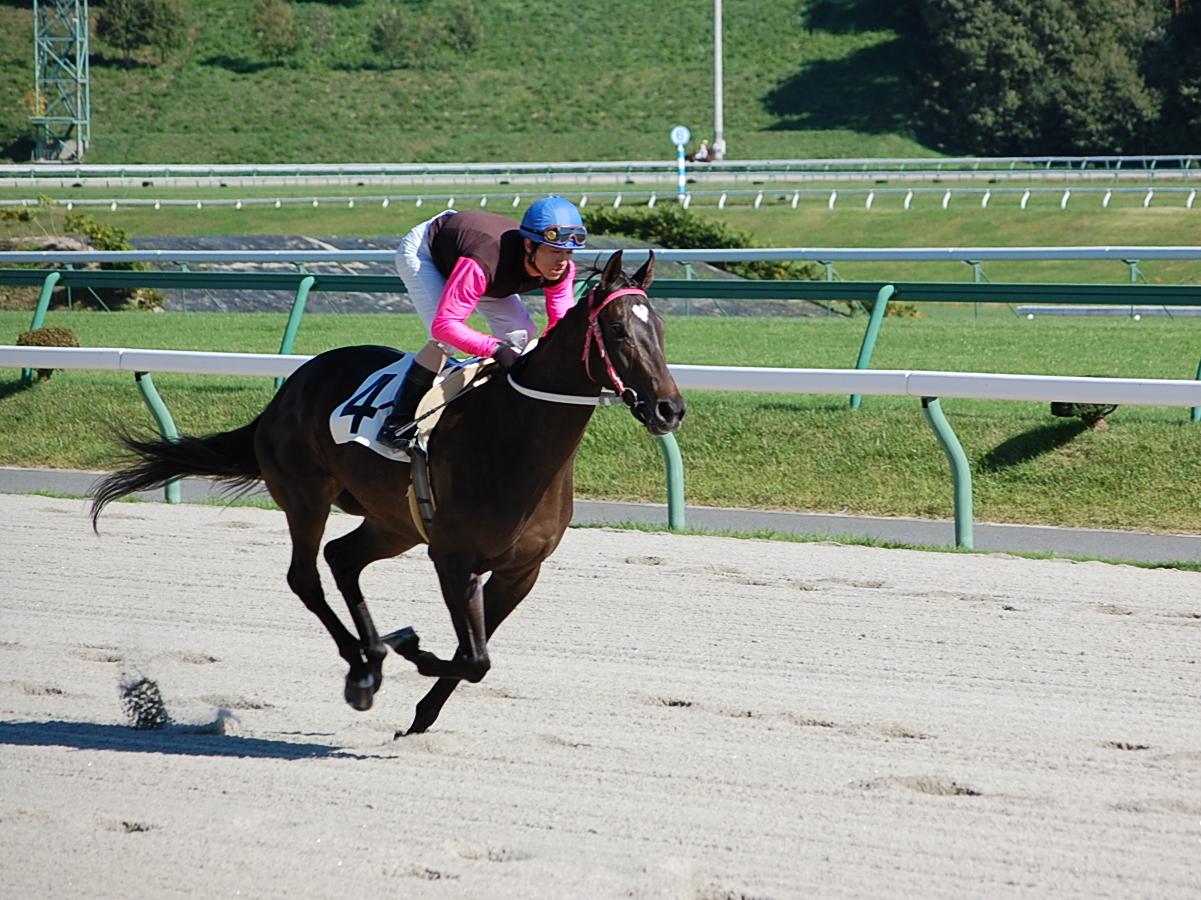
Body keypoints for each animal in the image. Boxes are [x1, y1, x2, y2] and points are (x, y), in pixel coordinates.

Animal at [90, 250, 685, 735]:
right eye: (616, 330)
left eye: (658, 327)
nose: (669, 409)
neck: (516, 437)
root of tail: (291, 387)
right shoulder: (453, 557)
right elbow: (475, 659)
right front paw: (411, 648)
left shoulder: (521, 570)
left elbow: (476, 652)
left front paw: (418, 704)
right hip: (306, 496)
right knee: (306, 575)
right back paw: (363, 666)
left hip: (393, 523)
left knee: (342, 557)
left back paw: (373, 654)